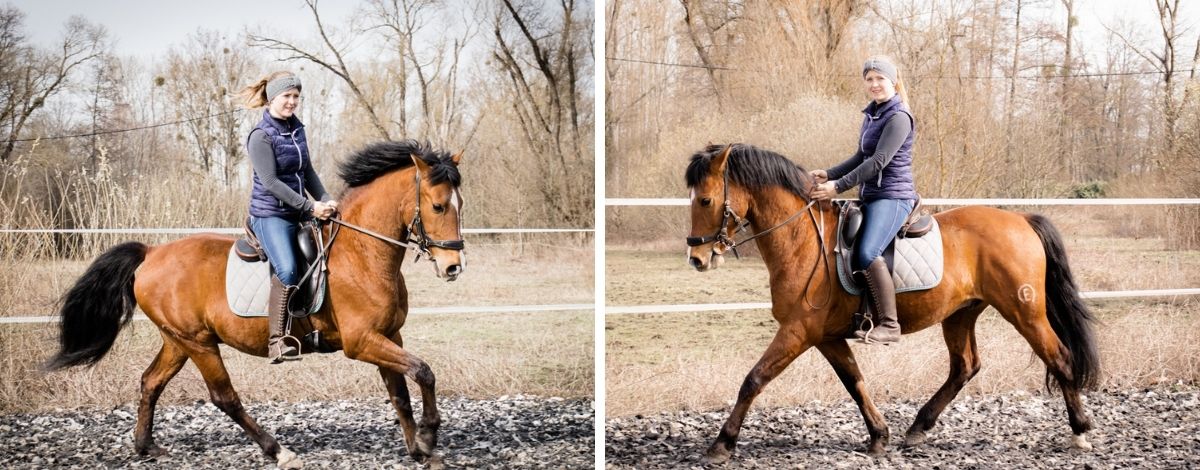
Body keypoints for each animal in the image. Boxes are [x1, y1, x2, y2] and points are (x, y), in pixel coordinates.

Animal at [43, 139, 463, 470]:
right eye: (438, 207)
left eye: (460, 204)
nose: (453, 267)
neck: (362, 252)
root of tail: (151, 253)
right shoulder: (361, 342)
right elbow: (424, 372)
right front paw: (428, 437)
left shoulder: (389, 335)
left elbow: (401, 393)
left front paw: (420, 451)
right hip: (199, 343)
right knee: (224, 397)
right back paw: (278, 451)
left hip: (177, 340)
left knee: (151, 382)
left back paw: (146, 447)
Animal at [686, 142, 1099, 462]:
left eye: (705, 200)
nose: (697, 259)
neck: (802, 239)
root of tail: (1021, 219)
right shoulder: (826, 337)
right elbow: (855, 382)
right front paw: (879, 435)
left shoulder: (798, 331)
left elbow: (754, 379)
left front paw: (722, 444)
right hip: (960, 313)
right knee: (964, 367)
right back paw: (918, 427)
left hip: (1024, 312)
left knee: (1059, 358)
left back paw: (1079, 432)